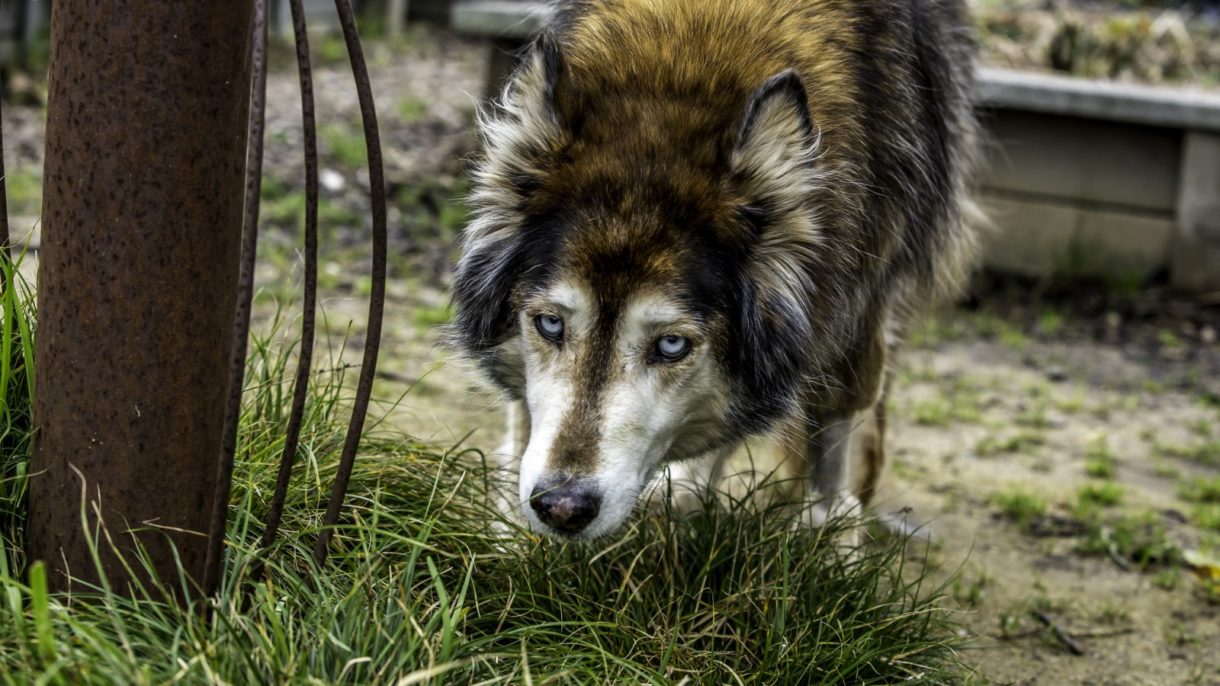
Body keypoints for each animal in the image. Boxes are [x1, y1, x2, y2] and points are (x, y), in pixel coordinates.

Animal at [453, 0, 976, 539]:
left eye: (671, 345)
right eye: (550, 324)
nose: (562, 506)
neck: (683, 66)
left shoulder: (865, 288)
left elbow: (834, 421)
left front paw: (826, 531)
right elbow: (524, 419)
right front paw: (514, 539)